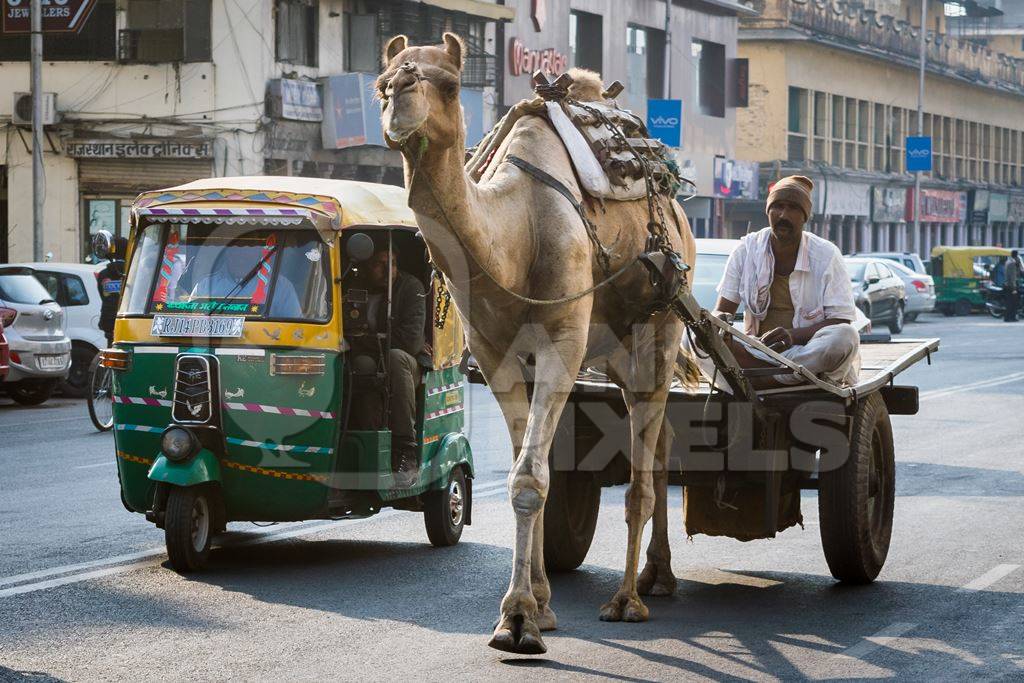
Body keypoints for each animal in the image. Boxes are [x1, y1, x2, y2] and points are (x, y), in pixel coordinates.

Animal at [380, 34, 700, 655]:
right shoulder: (496, 355)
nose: (399, 97)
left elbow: (529, 477)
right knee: (660, 444)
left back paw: (628, 599)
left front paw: (519, 620)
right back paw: (660, 575)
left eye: (449, 83)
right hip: (614, 352)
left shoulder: (562, 343)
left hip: (659, 330)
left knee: (643, 468)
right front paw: (540, 606)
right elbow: (529, 472)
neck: (517, 233)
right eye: (381, 82)